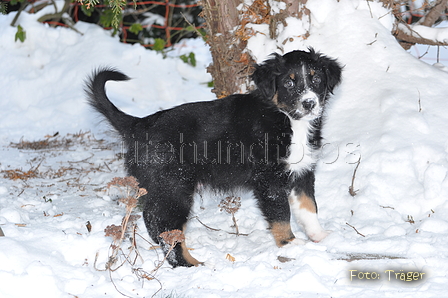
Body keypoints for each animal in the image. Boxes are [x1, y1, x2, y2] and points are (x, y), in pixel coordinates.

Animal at [85, 47, 344, 266]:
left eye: (316, 79)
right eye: (289, 82)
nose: (309, 103)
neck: (286, 119)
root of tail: (139, 124)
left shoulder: (302, 172)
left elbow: (308, 207)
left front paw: (319, 236)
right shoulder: (268, 180)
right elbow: (281, 214)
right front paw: (290, 244)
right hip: (173, 187)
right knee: (162, 223)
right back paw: (190, 264)